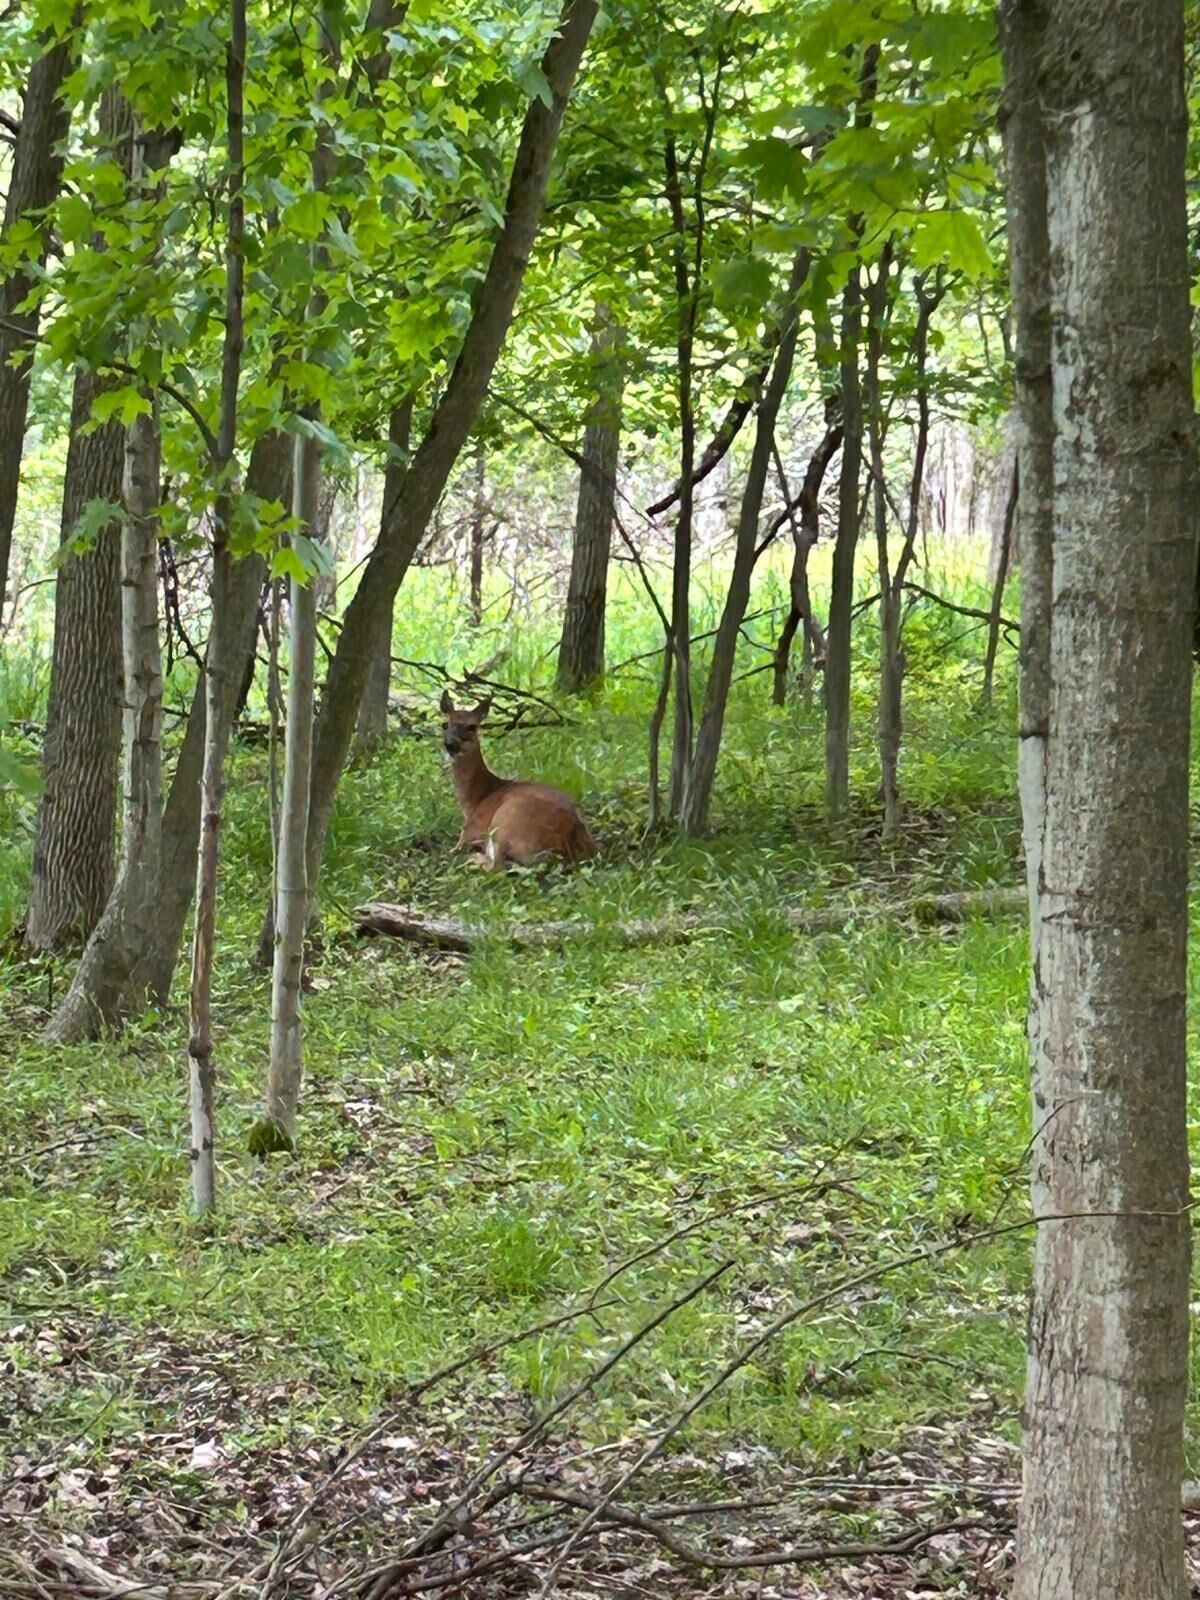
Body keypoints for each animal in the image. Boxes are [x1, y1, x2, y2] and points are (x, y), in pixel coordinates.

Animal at [439, 690, 597, 869]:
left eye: (472, 726)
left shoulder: (469, 832)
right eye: (445, 724)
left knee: (496, 867)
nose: (450, 745)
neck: (476, 799)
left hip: (504, 824)